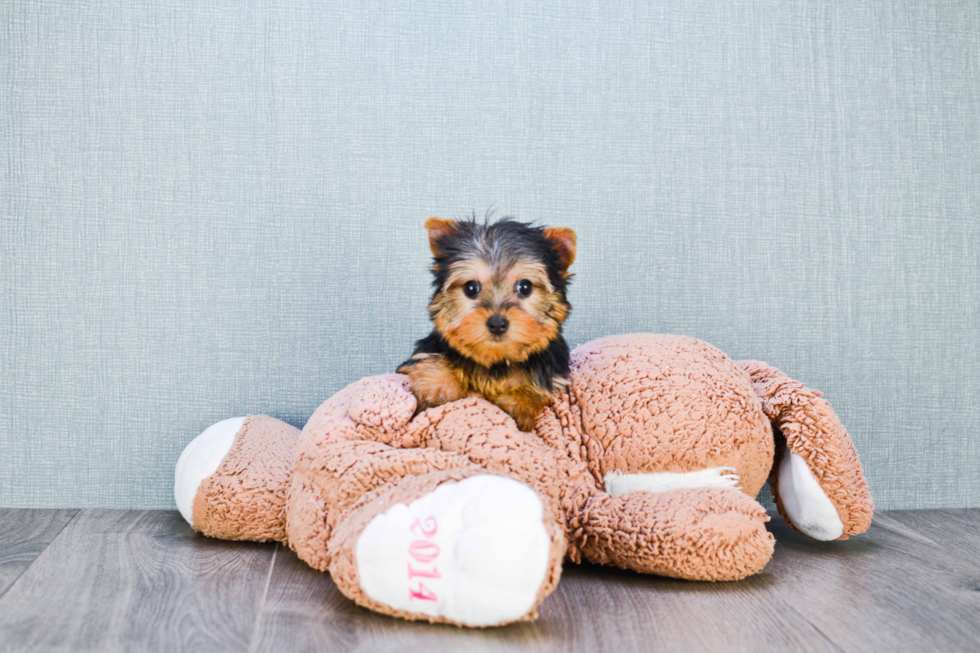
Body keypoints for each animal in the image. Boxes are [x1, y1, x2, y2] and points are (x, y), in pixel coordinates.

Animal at [398, 214, 580, 430]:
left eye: (525, 287)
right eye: (471, 288)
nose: (497, 324)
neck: (496, 361)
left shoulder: (552, 375)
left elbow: (535, 390)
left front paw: (518, 404)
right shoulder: (431, 348)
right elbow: (433, 359)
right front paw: (437, 385)